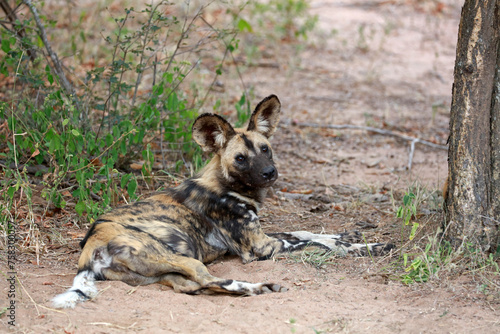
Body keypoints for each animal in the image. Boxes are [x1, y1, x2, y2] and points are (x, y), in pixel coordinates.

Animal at [51, 94, 394, 308]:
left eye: (265, 149)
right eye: (241, 158)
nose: (269, 173)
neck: (232, 187)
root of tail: (90, 246)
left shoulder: (264, 235)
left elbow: (310, 233)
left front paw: (352, 235)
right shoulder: (260, 248)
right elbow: (318, 243)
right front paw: (367, 247)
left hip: (164, 272)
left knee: (196, 287)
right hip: (181, 259)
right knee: (212, 279)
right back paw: (258, 287)